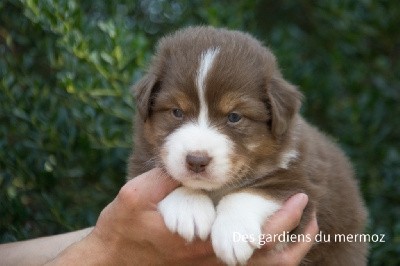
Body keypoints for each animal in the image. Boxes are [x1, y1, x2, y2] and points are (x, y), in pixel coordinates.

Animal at [129, 26, 368, 264]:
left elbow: (251, 193)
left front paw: (233, 233)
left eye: (234, 117)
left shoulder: (302, 185)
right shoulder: (141, 160)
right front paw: (188, 209)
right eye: (177, 112)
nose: (196, 161)